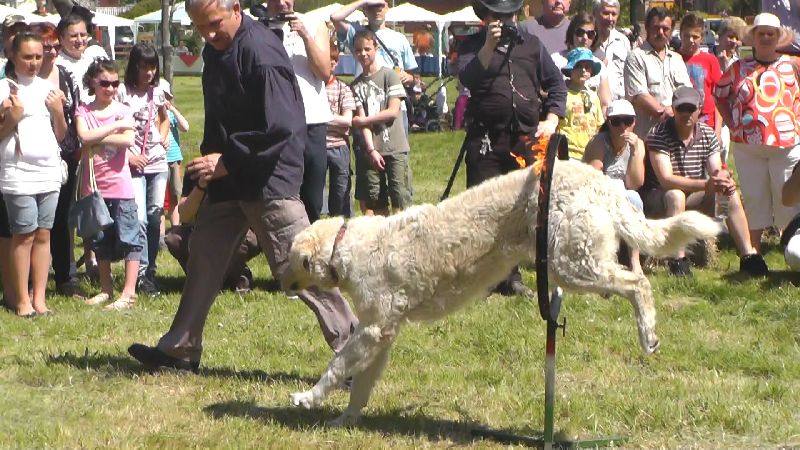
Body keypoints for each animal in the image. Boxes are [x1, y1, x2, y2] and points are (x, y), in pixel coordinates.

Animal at [282, 160, 722, 426]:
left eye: (288, 259)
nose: (281, 280)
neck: (343, 247)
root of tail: (602, 183)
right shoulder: (382, 335)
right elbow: (360, 384)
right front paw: (345, 421)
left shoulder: (373, 331)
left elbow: (337, 365)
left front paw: (308, 398)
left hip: (573, 265)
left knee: (638, 283)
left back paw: (648, 335)